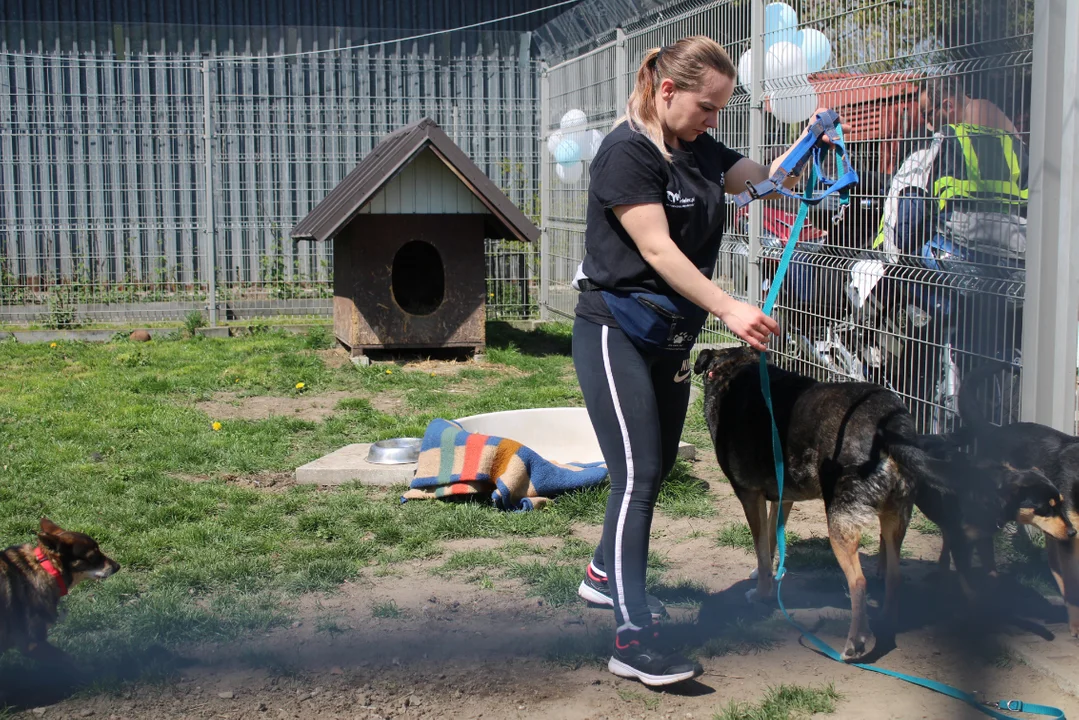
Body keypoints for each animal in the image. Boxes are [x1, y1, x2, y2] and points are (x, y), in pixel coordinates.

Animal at [694, 345, 958, 660]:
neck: (732, 369)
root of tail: (891, 425)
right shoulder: (782, 497)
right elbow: (769, 542)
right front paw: (765, 575)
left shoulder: (749, 494)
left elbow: (760, 545)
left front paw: (761, 592)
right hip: (896, 516)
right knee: (894, 577)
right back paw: (885, 623)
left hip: (840, 519)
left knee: (858, 581)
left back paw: (854, 643)